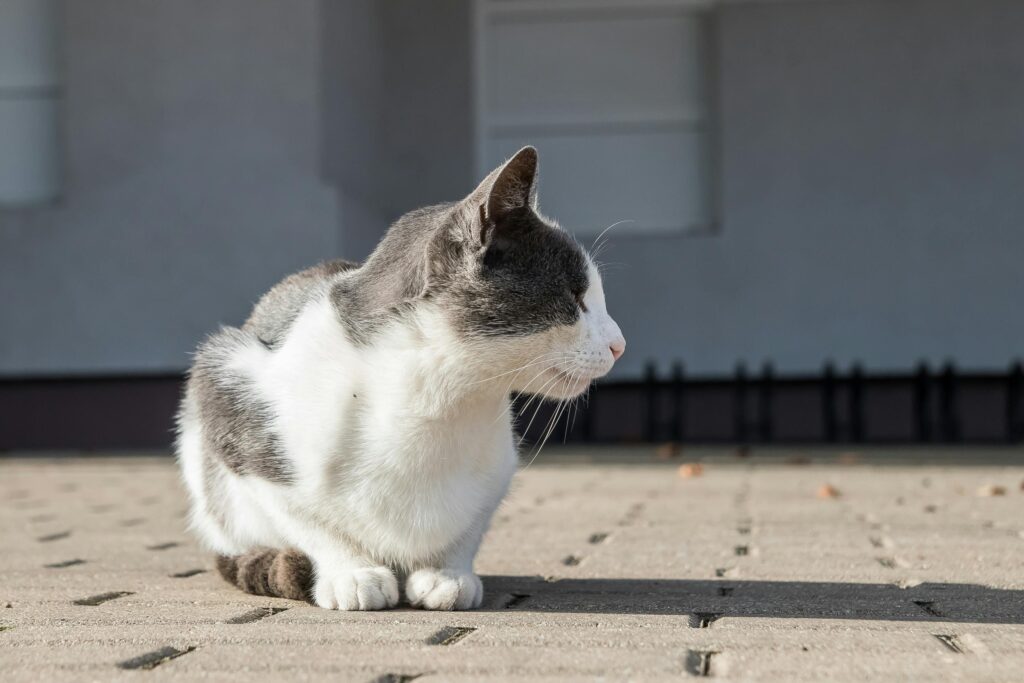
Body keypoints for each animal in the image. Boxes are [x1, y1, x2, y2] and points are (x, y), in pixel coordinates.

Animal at [176, 147, 622, 610]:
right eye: (574, 297)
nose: (619, 344)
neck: (439, 399)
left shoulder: (499, 471)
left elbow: (469, 525)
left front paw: (446, 573)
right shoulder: (228, 395)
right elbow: (309, 520)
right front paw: (352, 573)